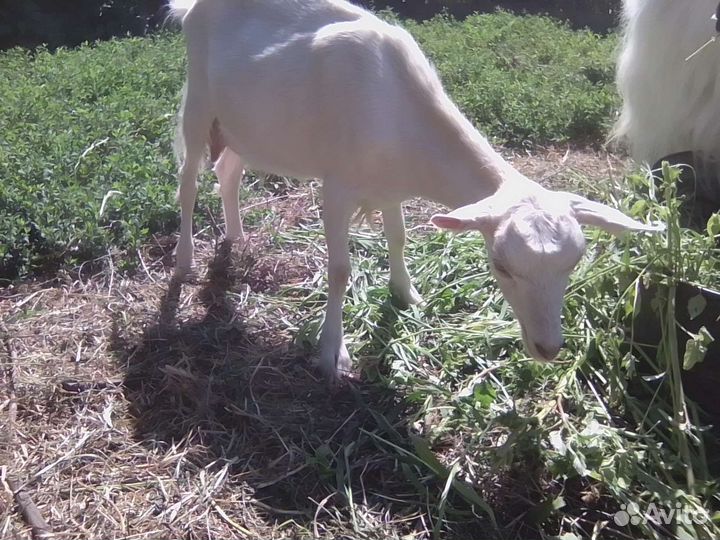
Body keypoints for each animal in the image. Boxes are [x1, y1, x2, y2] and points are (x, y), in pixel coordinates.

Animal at [168, 0, 661, 381]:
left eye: (574, 263)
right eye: (500, 265)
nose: (548, 348)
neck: (396, 111)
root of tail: (191, 8)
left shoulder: (391, 188)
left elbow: (399, 237)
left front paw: (407, 295)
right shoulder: (337, 186)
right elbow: (340, 270)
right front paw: (332, 354)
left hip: (245, 125)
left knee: (229, 169)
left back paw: (235, 238)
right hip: (198, 100)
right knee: (188, 182)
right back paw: (185, 261)